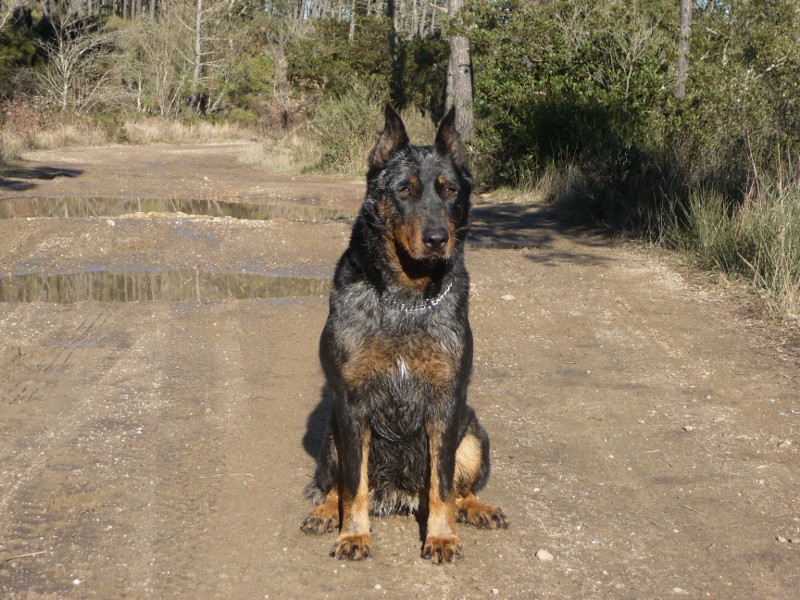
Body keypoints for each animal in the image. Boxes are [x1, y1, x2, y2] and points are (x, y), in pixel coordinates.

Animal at [301, 105, 508, 564]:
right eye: (405, 190)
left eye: (449, 191)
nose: (437, 238)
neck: (405, 299)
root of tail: (398, 496)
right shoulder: (352, 404)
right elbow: (354, 486)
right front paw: (354, 534)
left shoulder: (446, 404)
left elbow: (443, 485)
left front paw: (442, 537)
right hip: (332, 436)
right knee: (335, 485)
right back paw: (325, 512)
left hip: (473, 434)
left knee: (460, 489)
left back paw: (477, 508)